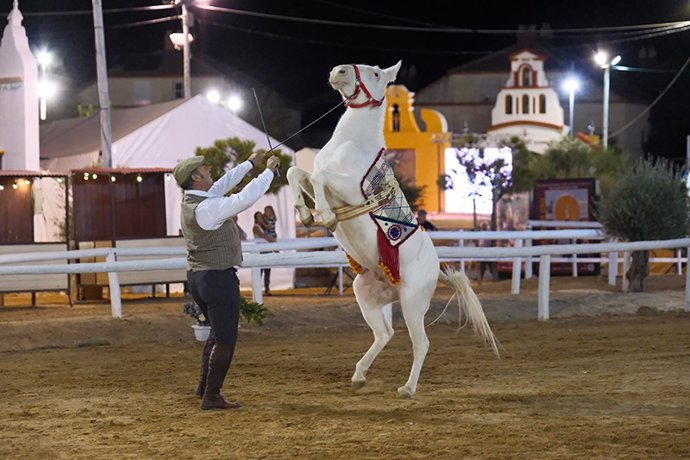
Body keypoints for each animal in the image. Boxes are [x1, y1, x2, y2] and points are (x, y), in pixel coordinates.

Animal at [282, 60, 498, 398]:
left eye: (374, 73)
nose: (338, 71)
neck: (350, 144)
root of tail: (437, 271)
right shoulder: (319, 180)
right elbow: (296, 172)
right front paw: (305, 214)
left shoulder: (348, 188)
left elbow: (318, 177)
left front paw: (327, 217)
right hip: (367, 294)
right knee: (384, 334)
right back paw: (359, 375)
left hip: (412, 303)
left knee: (420, 343)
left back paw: (407, 388)